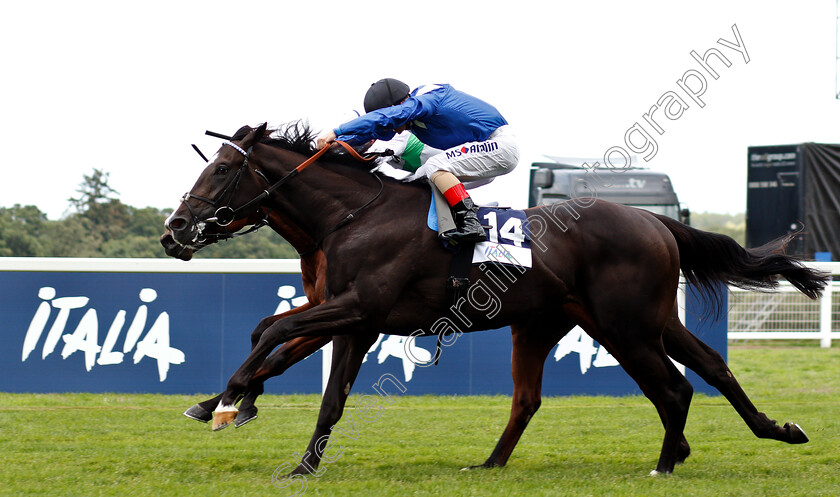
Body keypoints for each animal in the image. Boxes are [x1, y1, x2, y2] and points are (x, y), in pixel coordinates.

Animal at [164, 122, 828, 474]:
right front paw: (247, 417)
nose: (175, 230)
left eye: (221, 171)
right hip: (613, 321)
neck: (352, 215)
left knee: (674, 387)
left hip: (626, 326)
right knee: (703, 368)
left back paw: (667, 461)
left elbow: (279, 339)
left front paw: (231, 402)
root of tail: (655, 222)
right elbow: (292, 357)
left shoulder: (360, 309)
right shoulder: (347, 315)